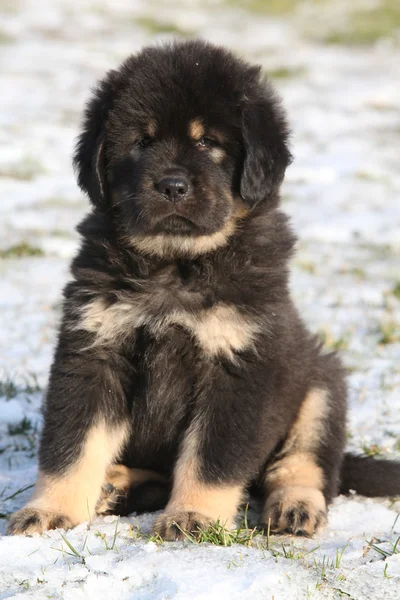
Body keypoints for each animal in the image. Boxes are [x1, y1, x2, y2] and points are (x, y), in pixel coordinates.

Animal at [9, 41, 400, 540]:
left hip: (320, 384)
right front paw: (50, 511)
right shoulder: (94, 350)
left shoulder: (240, 365)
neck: (176, 265)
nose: (172, 185)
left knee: (305, 466)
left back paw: (295, 506)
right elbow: (72, 447)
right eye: (142, 141)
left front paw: (193, 516)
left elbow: (211, 457)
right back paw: (117, 484)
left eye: (208, 143)